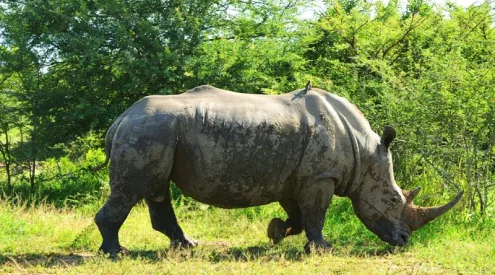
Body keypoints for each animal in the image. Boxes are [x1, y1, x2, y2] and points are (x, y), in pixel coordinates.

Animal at [95, 85, 464, 256]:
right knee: (133, 190)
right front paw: (323, 249)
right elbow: (315, 215)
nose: (404, 240)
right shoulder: (319, 177)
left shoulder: (298, 177)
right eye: (392, 200)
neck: (365, 153)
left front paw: (275, 232)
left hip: (155, 132)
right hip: (148, 131)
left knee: (156, 189)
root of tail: (119, 120)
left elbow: (299, 215)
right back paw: (117, 252)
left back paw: (187, 245)